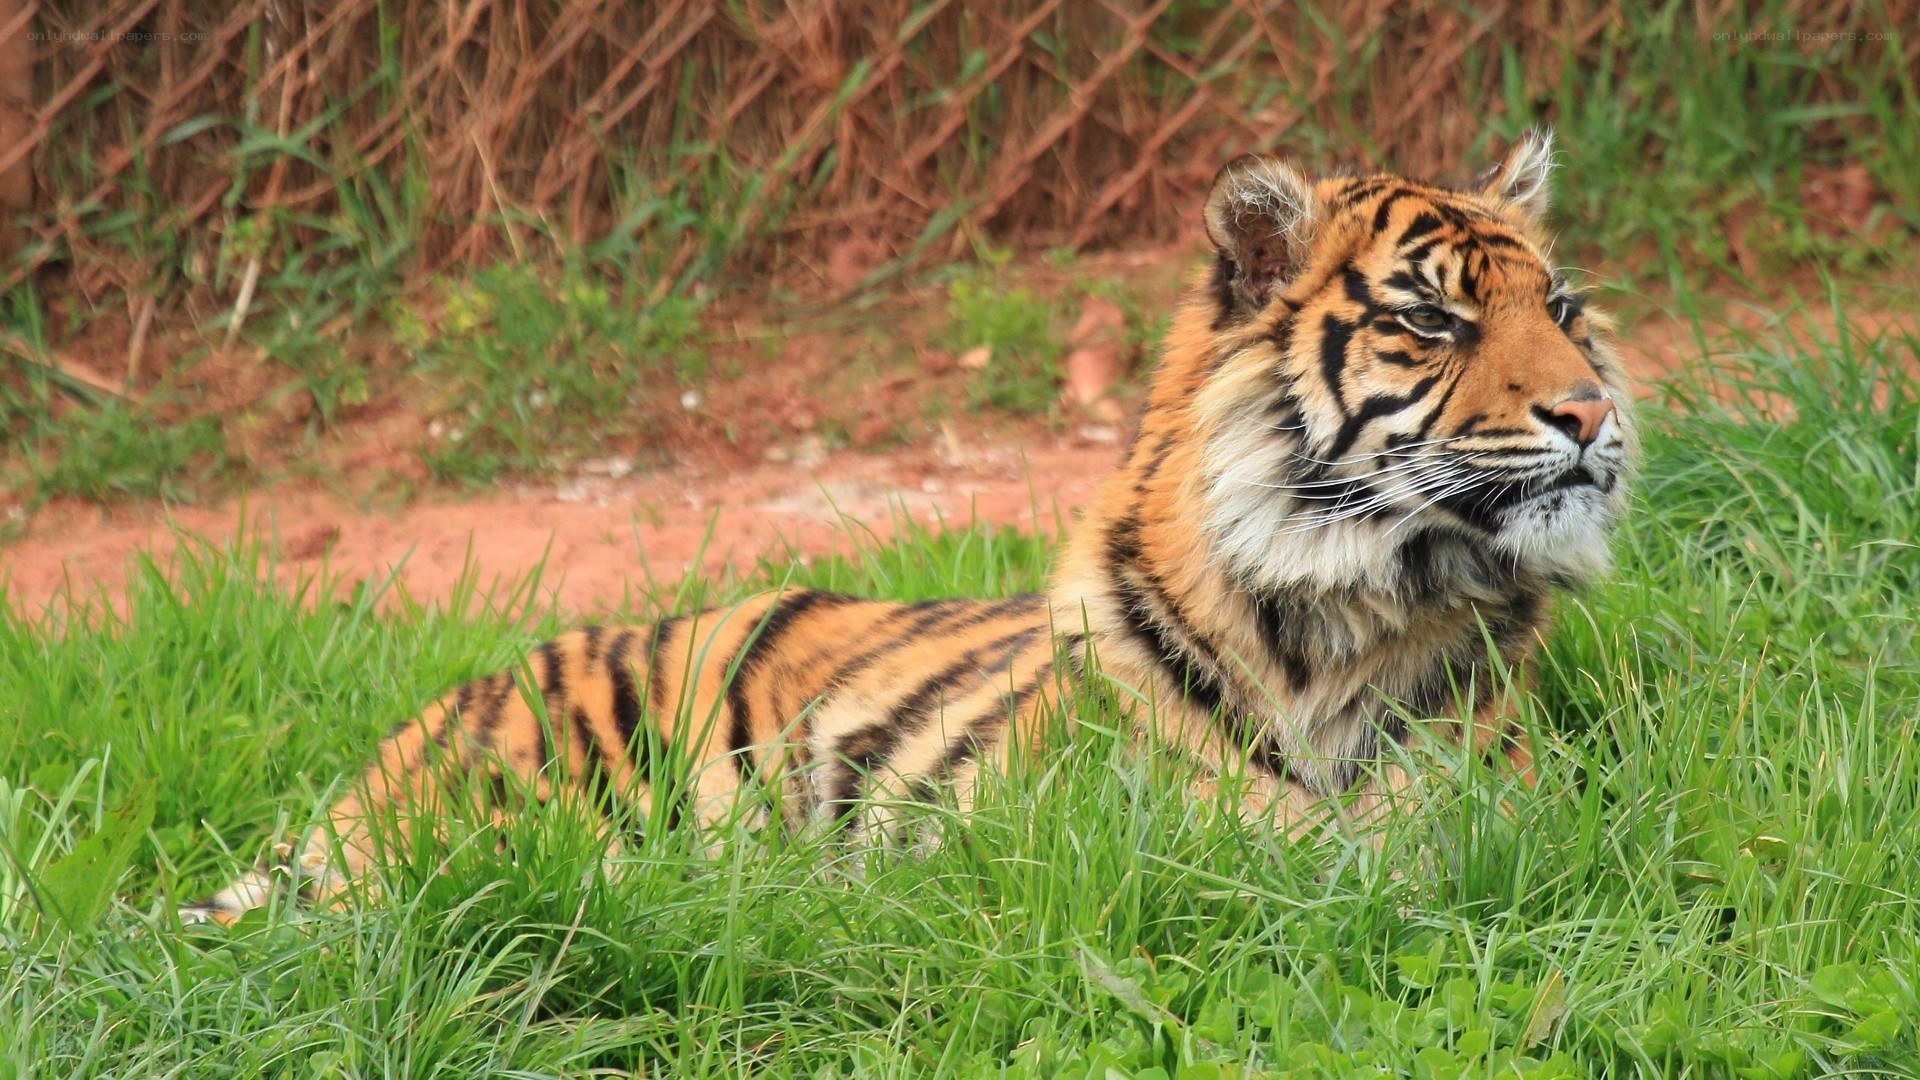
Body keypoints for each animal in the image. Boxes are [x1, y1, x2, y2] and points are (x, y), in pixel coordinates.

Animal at [184, 130, 1633, 924]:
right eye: (1431, 320)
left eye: (1561, 308)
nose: (1590, 409)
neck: (1345, 608)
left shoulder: (1492, 810)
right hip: (503, 817)